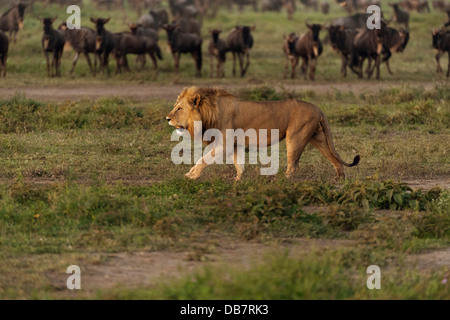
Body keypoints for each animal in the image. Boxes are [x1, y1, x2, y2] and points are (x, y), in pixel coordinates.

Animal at [165, 86, 358, 181]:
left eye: (179, 108)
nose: (167, 118)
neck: (209, 111)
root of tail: (318, 108)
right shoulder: (234, 144)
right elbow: (239, 164)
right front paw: (238, 180)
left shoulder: (224, 144)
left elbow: (203, 160)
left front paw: (191, 176)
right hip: (317, 137)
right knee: (334, 158)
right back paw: (340, 179)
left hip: (295, 137)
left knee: (293, 166)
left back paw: (282, 181)